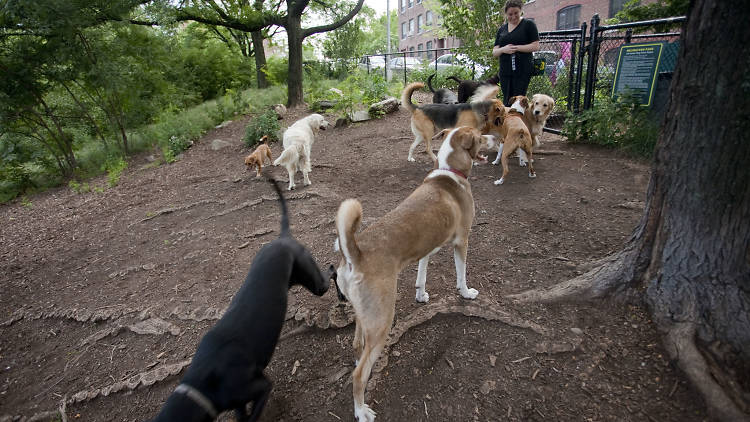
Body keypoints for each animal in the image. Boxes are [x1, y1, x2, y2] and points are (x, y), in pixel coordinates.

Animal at [153, 179, 334, 422]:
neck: (202, 388)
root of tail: (283, 237)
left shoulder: (261, 386)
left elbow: (252, 416)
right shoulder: (237, 402)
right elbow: (242, 414)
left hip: (315, 282)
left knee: (332, 270)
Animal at [336, 126, 500, 422]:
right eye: (480, 136)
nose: (496, 137)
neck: (449, 170)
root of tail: (355, 253)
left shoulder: (427, 247)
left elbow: (422, 273)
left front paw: (421, 295)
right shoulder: (462, 241)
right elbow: (461, 274)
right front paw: (466, 293)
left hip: (364, 317)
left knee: (356, 348)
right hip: (382, 322)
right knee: (358, 374)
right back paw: (361, 410)